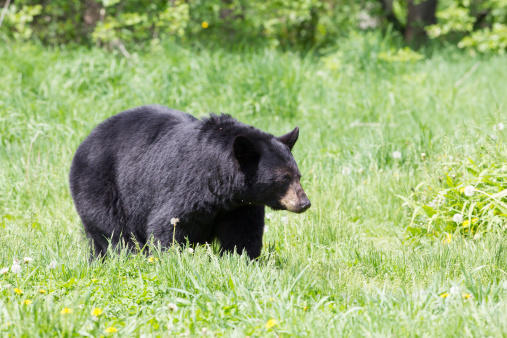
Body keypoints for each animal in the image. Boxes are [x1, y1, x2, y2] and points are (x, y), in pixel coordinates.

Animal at [70, 105, 312, 258]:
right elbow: (170, 225)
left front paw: (243, 259)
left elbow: (243, 235)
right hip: (99, 185)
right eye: (283, 178)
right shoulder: (187, 185)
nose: (304, 203)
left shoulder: (241, 205)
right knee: (113, 232)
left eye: (298, 175)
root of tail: (85, 140)